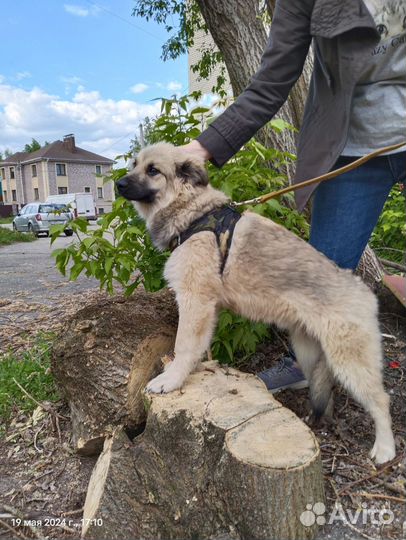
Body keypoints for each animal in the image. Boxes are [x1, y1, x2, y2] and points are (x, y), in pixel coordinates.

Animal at [117, 142, 396, 464]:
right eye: (135, 165)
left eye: (153, 170)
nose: (118, 184)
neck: (192, 211)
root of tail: (365, 293)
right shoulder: (207, 310)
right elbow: (198, 348)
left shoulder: (195, 302)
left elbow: (184, 346)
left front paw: (172, 379)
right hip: (309, 351)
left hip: (350, 360)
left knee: (381, 399)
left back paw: (385, 448)